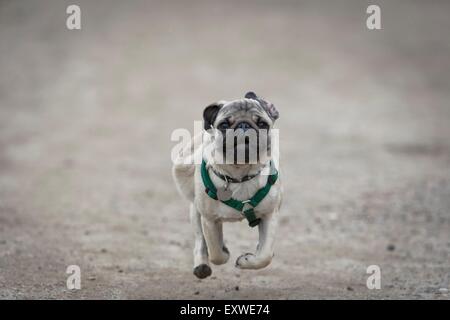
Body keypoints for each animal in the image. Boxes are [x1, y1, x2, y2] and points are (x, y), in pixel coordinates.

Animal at [172, 91, 282, 278]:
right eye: (224, 125)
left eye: (262, 124)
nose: (244, 125)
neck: (240, 175)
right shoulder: (210, 220)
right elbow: (215, 252)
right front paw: (223, 252)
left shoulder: (269, 214)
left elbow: (265, 256)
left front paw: (247, 260)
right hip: (195, 209)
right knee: (200, 241)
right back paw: (201, 265)